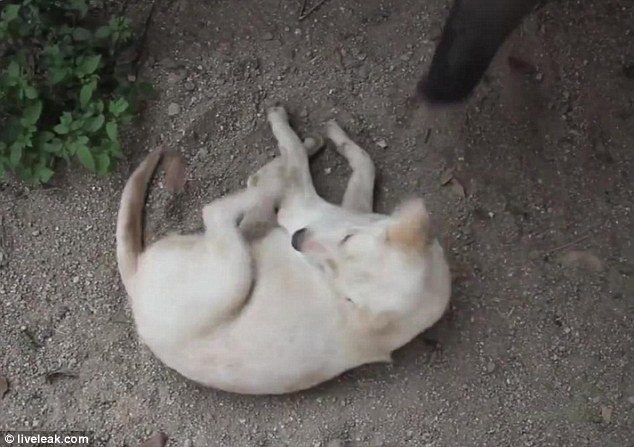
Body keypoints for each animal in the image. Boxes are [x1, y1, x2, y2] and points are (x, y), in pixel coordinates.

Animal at [115, 106, 450, 396]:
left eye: (335, 279)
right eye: (347, 238)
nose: (296, 239)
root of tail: (134, 284)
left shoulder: (302, 208)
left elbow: (297, 163)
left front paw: (286, 131)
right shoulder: (350, 210)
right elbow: (365, 164)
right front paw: (335, 138)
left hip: (231, 275)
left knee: (220, 208)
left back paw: (275, 170)